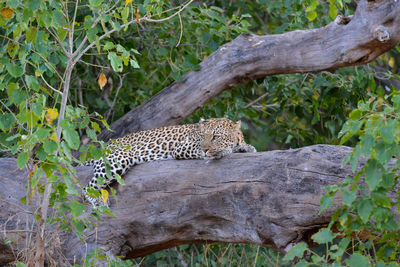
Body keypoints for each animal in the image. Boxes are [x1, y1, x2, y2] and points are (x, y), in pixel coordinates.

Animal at [84, 118, 256, 208]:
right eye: (203, 136)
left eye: (216, 136)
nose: (206, 149)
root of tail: (106, 145)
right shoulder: (184, 148)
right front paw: (224, 151)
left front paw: (246, 147)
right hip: (116, 161)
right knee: (87, 187)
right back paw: (98, 202)